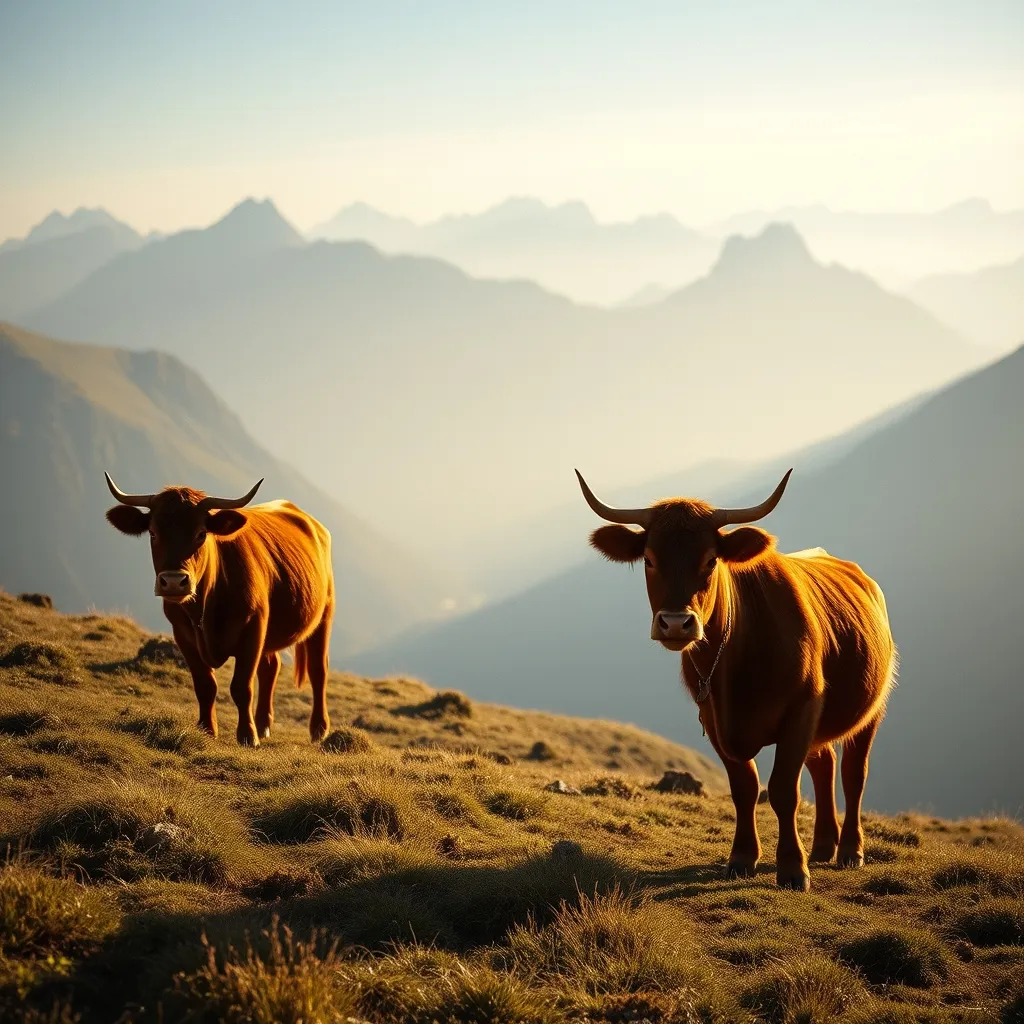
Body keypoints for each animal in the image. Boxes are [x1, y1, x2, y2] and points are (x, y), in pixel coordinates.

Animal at [104, 474, 335, 747]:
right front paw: (207, 729)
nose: (174, 581)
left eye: (201, 533)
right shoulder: (183, 635)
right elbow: (205, 685)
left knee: (318, 671)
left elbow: (241, 687)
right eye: (153, 532)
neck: (207, 607)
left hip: (324, 615)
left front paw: (247, 735)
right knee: (270, 668)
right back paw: (264, 724)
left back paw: (318, 729)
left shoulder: (252, 630)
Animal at [576, 468, 896, 891]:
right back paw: (823, 847)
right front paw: (743, 858)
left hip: (872, 710)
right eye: (649, 559)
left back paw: (849, 852)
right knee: (824, 765)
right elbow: (743, 787)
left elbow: (782, 790)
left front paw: (792, 869)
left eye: (711, 560)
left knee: (852, 774)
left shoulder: (800, 710)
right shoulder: (714, 720)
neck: (735, 665)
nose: (676, 623)